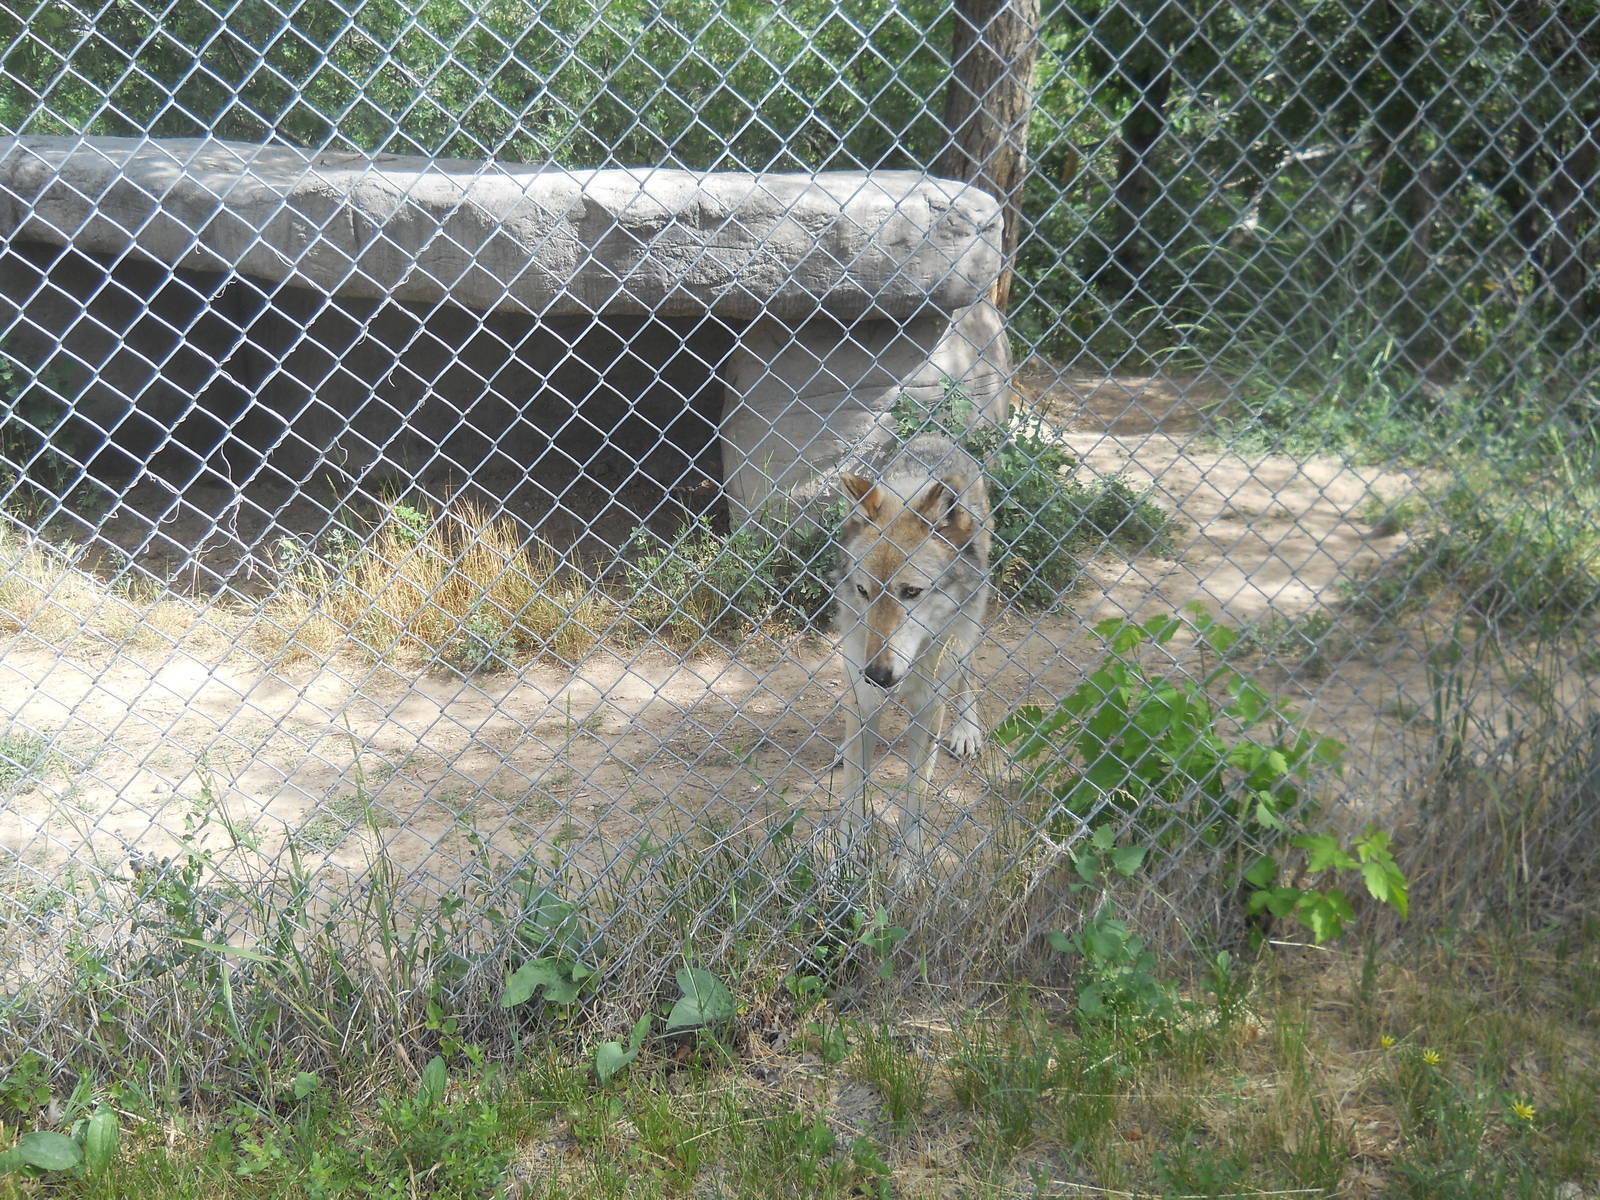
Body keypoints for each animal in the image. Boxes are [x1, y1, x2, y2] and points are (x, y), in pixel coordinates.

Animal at [832, 434, 992, 857]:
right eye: (863, 591)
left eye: (911, 592)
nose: (876, 674)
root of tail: (936, 437)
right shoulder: (863, 698)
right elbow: (854, 787)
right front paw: (846, 854)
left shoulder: (928, 708)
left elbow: (915, 798)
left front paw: (909, 864)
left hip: (969, 624)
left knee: (966, 671)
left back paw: (966, 729)